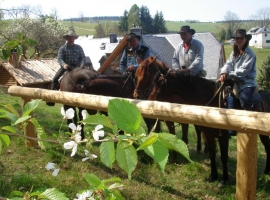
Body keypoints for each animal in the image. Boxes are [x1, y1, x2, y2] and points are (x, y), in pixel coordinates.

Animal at [136, 56, 270, 184]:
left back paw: (265, 174)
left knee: (267, 147)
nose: (149, 99)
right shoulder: (207, 133)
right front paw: (212, 176)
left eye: (160, 81)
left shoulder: (223, 136)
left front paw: (224, 179)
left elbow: (223, 157)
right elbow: (212, 154)